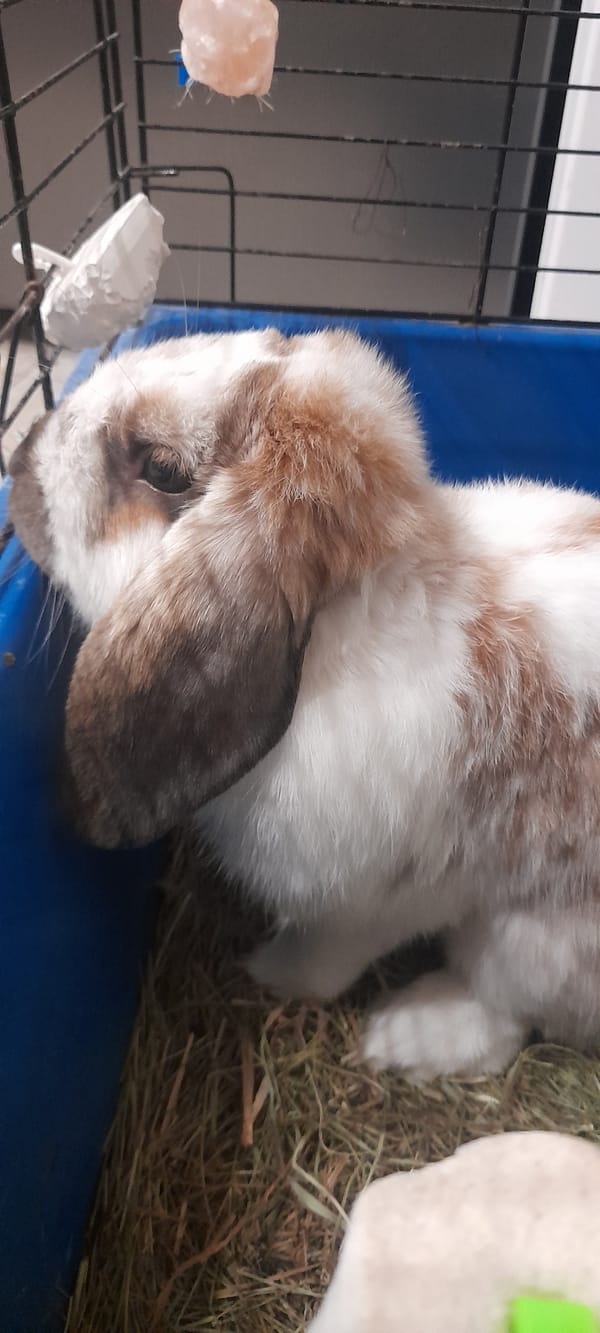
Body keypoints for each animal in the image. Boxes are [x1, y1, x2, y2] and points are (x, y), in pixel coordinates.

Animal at [8, 326, 600, 1080]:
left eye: (162, 469)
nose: (21, 454)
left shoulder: (365, 906)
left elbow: (321, 962)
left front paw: (265, 972)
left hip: (534, 942)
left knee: (502, 1020)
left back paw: (400, 1036)